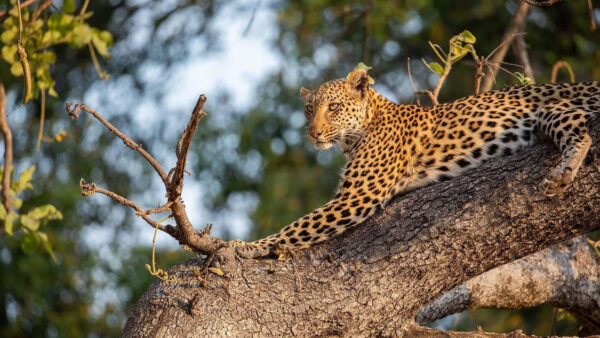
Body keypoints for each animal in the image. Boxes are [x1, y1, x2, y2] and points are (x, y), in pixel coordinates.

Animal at [231, 68, 600, 258]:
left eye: (333, 107)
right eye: (309, 110)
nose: (313, 133)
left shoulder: (355, 197)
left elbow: (296, 227)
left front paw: (245, 247)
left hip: (553, 109)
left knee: (582, 134)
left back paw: (562, 174)